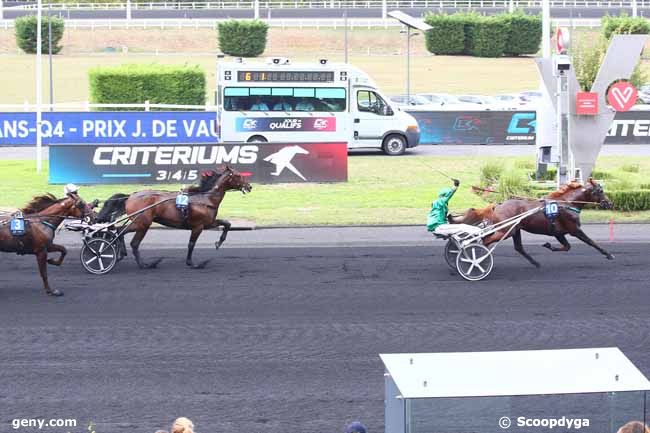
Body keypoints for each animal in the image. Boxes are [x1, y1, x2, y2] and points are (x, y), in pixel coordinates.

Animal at [97, 167, 252, 268]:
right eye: (238, 175)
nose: (249, 186)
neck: (205, 198)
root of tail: (131, 196)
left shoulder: (208, 223)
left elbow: (227, 223)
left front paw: (218, 243)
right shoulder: (198, 226)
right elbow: (191, 244)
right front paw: (192, 263)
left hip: (138, 223)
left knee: (119, 230)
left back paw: (121, 254)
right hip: (143, 224)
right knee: (133, 243)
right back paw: (146, 264)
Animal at [448, 178, 616, 266]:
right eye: (600, 191)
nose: (609, 203)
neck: (567, 203)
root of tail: (498, 205)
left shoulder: (558, 232)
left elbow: (566, 246)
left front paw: (548, 246)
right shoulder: (574, 229)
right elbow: (591, 242)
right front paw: (608, 254)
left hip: (515, 230)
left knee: (518, 247)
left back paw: (535, 263)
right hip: (506, 230)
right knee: (484, 240)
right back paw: (477, 259)